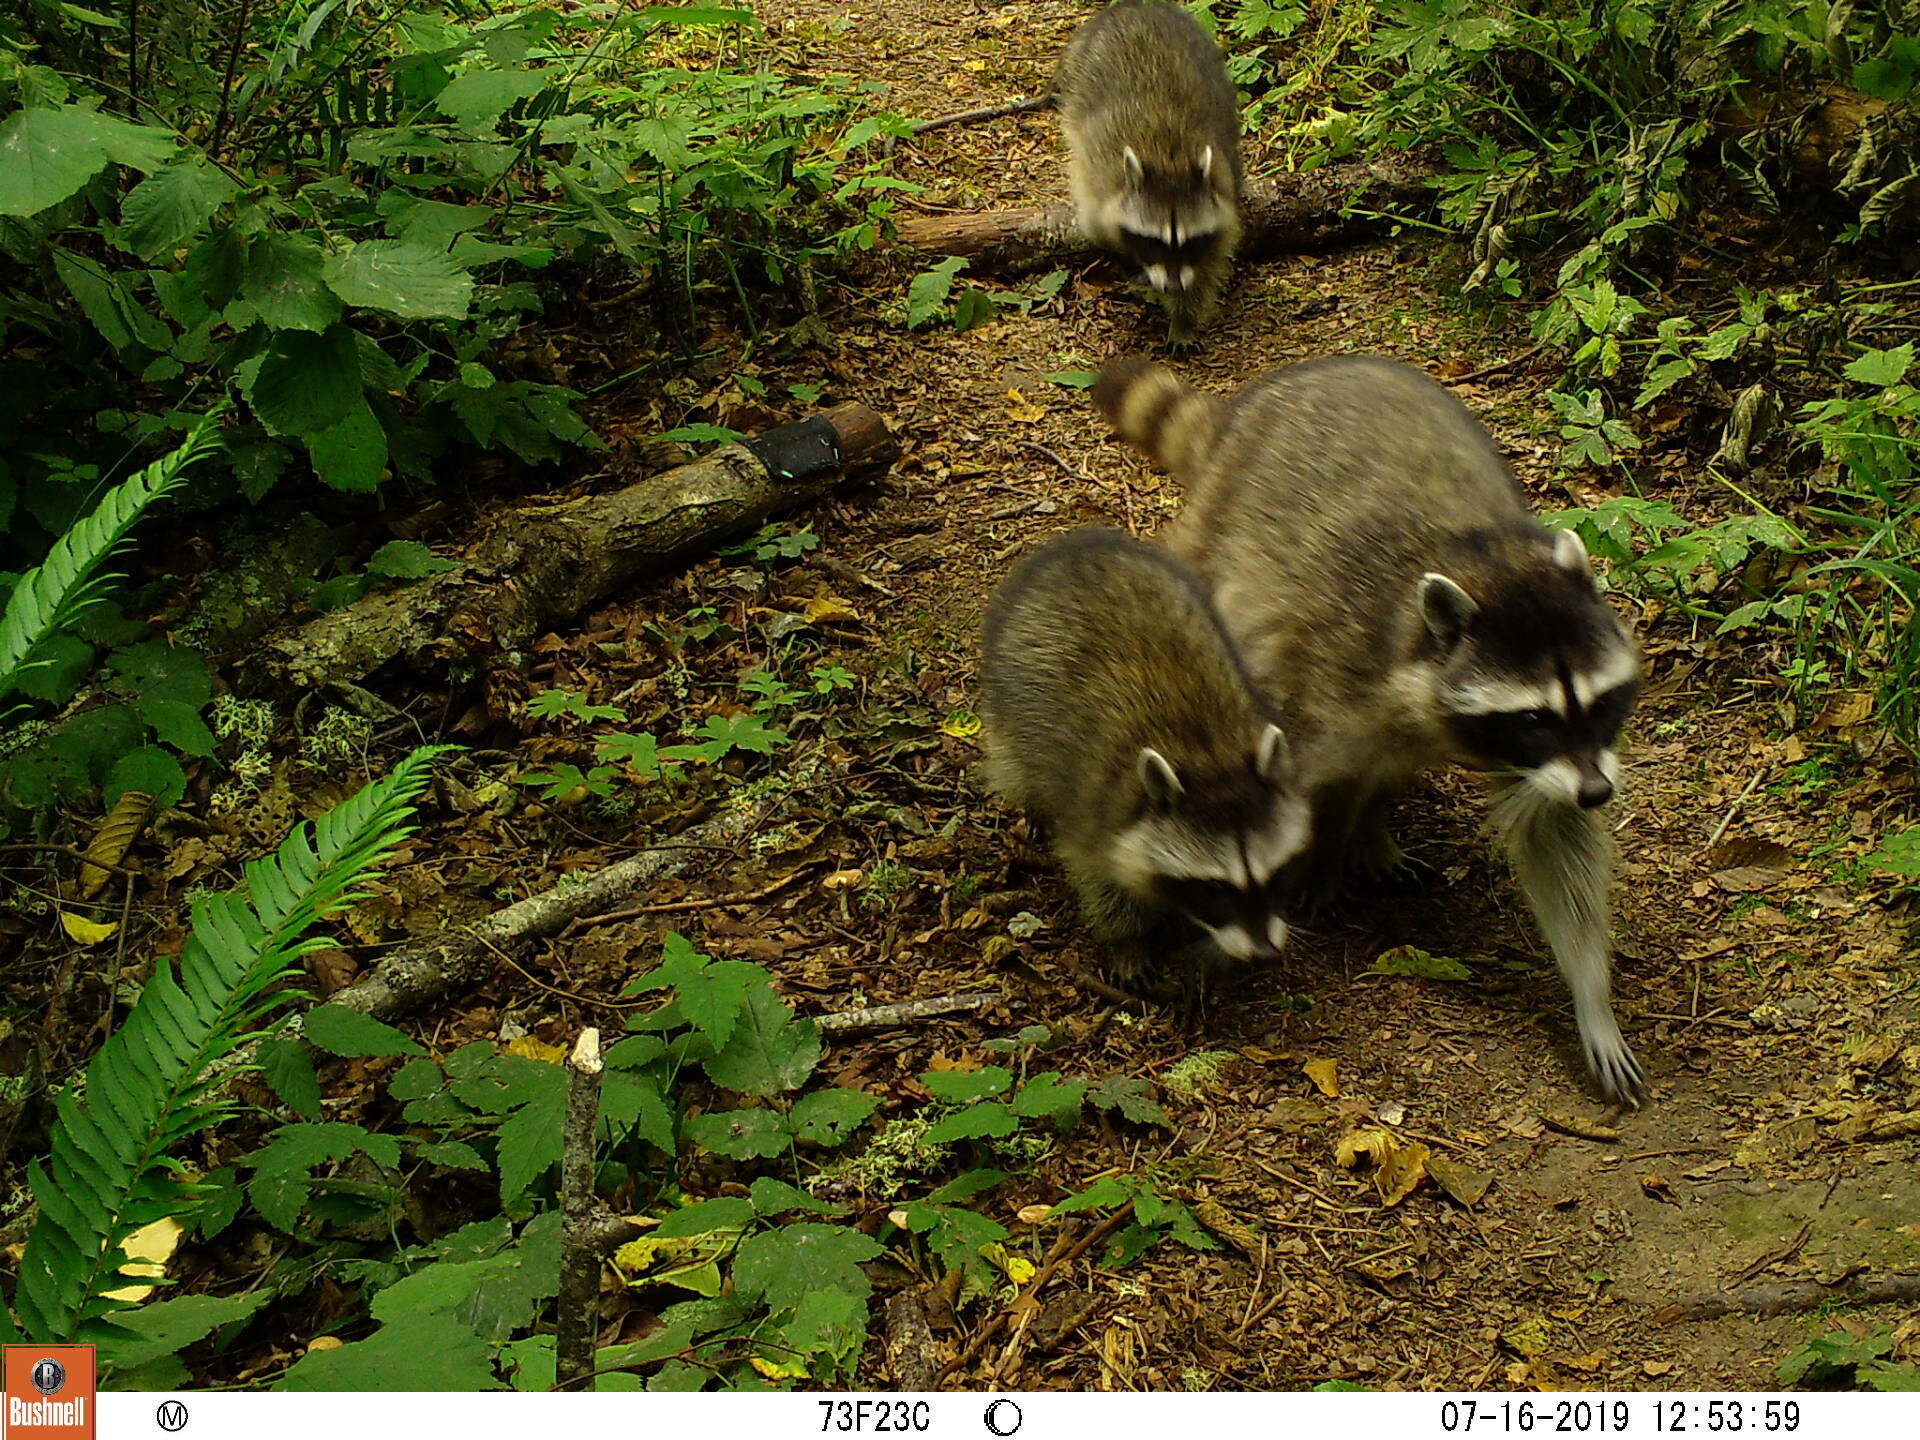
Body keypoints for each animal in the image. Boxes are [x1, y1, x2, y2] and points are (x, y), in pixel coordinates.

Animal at [978, 527, 1309, 993]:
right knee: (1015, 764)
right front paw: (1128, 940)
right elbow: (1100, 879)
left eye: (1276, 876)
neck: (1209, 757)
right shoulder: (1095, 808)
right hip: (1011, 689)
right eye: (1216, 890)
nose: (1264, 953)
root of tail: (1083, 542)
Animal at [1054, 0, 1243, 347]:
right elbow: (1098, 227)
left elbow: (1211, 263)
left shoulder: (1223, 188)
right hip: (1082, 64)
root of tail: (1139, 4)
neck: (1169, 160)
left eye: (1190, 242)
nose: (1173, 286)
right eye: (1152, 241)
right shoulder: (1097, 178)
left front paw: (1184, 318)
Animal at [1095, 355, 1648, 1102]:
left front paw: (1592, 998)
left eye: (1601, 703)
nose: (1597, 793)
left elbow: (1557, 837)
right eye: (1534, 717)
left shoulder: (1547, 760)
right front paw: (1301, 876)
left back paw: (1373, 831)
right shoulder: (1330, 673)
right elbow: (1293, 791)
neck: (1486, 563)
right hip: (1225, 536)